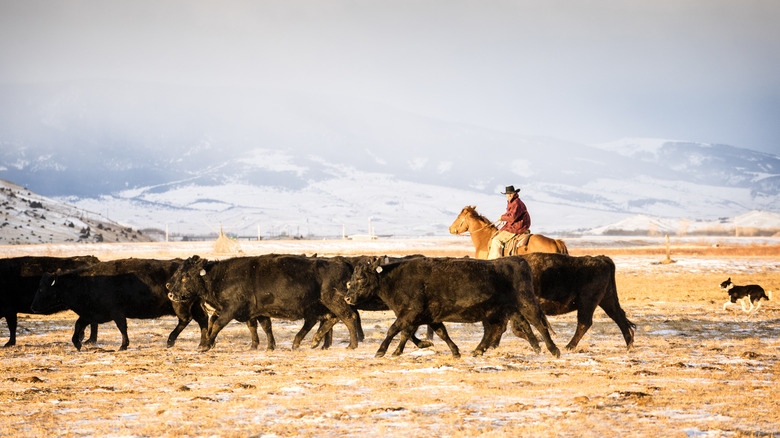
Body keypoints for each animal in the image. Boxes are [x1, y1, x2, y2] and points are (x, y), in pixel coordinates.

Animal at [32, 258, 210, 350]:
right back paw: (203, 343)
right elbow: (78, 325)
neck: (85, 281)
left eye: (41, 288)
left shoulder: (116, 313)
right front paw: (77, 343)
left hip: (180, 306)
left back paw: (170, 341)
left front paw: (123, 345)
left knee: (185, 320)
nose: (33, 307)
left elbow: (122, 328)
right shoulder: (90, 314)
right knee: (202, 320)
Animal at [166, 253, 362, 352]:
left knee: (348, 317)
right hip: (326, 304)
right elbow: (264, 327)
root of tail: (341, 261)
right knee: (329, 320)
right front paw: (267, 346)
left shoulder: (230, 309)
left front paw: (206, 345)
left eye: (185, 276)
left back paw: (351, 344)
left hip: (334, 300)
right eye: (178, 273)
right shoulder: (258, 311)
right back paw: (313, 342)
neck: (220, 276)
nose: (171, 294)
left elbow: (217, 325)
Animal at [344, 255, 556, 358]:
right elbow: (437, 333)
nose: (347, 298)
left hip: (526, 303)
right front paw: (454, 351)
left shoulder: (410, 314)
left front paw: (381, 351)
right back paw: (477, 350)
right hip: (493, 312)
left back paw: (554, 350)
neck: (394, 279)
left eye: (361, 278)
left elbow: (394, 330)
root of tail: (519, 260)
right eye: (352, 277)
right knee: (493, 330)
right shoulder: (427, 317)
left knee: (539, 324)